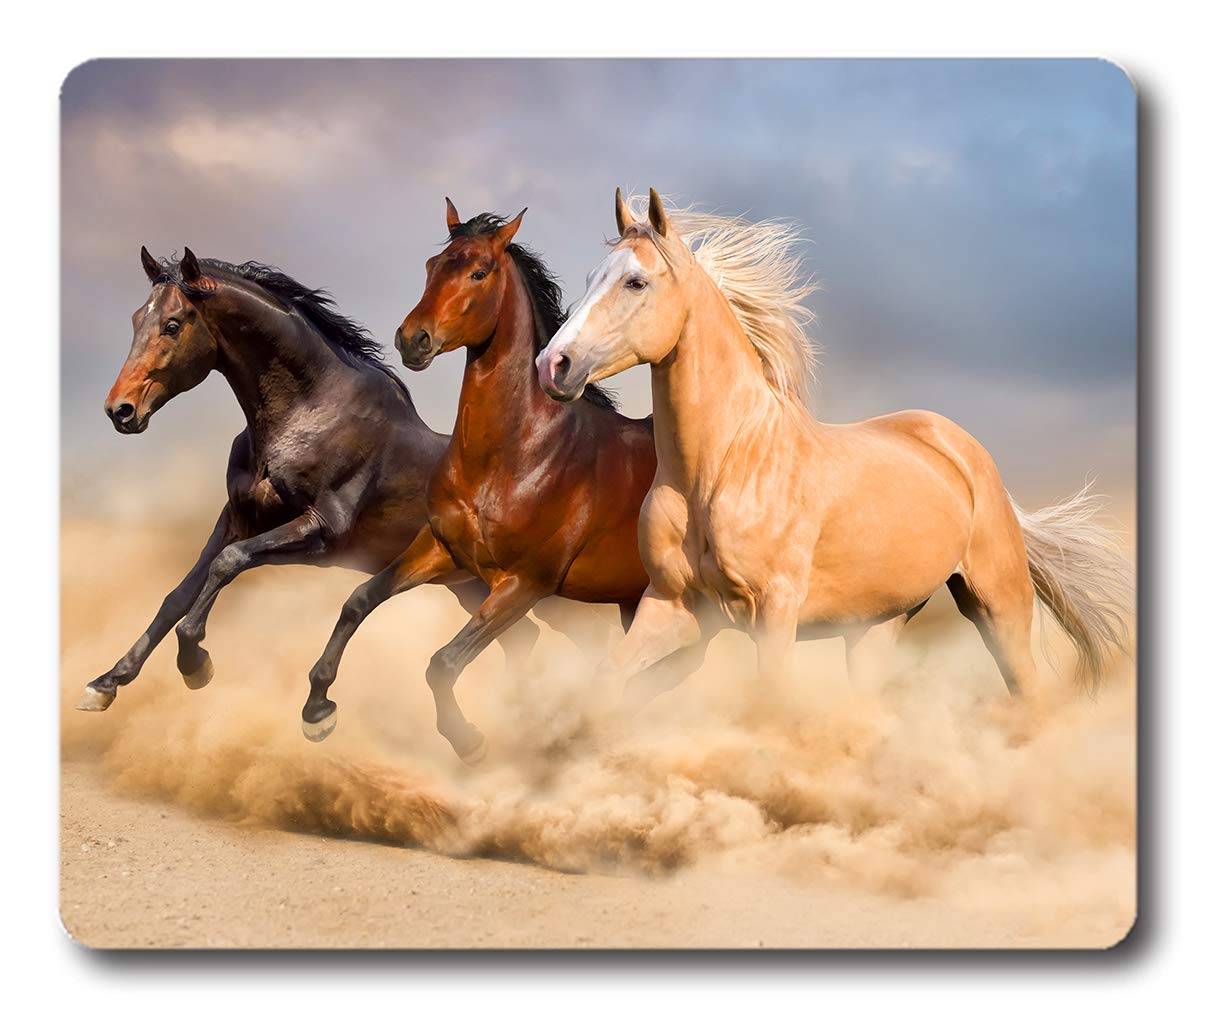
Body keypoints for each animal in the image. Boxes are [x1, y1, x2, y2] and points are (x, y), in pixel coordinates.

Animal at [78, 246, 549, 725]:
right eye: (137, 319)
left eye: (172, 324)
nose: (120, 410)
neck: (308, 413)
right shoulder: (239, 518)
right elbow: (179, 594)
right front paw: (106, 683)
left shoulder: (320, 532)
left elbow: (228, 564)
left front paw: (195, 663)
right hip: (470, 587)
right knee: (521, 637)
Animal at [303, 200, 684, 762]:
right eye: (431, 266)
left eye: (479, 271)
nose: (412, 339)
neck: (516, 456)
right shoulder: (443, 549)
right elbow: (359, 600)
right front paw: (317, 710)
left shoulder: (523, 584)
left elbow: (443, 663)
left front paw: (470, 742)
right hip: (635, 602)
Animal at [536, 188, 1132, 705]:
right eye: (591, 277)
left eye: (635, 282)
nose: (553, 365)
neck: (720, 468)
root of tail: (966, 453)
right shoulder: (672, 607)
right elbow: (608, 679)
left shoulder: (774, 612)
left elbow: (769, 701)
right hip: (875, 628)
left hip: (999, 607)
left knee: (1027, 692)